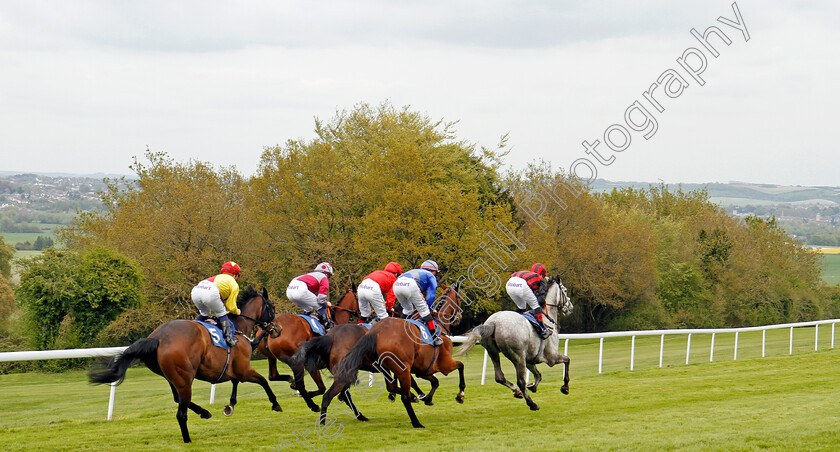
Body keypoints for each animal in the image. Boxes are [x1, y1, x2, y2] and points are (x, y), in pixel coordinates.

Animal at [88, 286, 280, 442]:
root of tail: (157, 338)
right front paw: (275, 404)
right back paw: (188, 439)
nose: (277, 328)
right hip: (185, 378)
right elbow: (263, 380)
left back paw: (204, 412)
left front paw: (230, 405)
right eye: (272, 307)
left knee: (178, 399)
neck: (238, 327)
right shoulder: (243, 369)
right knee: (181, 413)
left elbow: (237, 382)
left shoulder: (235, 370)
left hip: (173, 378)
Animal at [258, 286, 360, 414]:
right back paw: (312, 404)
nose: (368, 314)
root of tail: (270, 329)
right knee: (300, 385)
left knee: (273, 376)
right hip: (297, 363)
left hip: (272, 357)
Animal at [320, 282, 470, 428]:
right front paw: (460, 395)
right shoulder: (442, 365)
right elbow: (460, 366)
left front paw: (425, 398)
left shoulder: (421, 370)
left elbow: (434, 382)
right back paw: (415, 421)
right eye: (460, 298)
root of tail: (331, 336)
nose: (460, 317)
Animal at [456, 278, 576, 412]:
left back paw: (517, 392)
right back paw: (532, 404)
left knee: (500, 377)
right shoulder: (551, 358)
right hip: (517, 356)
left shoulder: (530, 360)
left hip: (493, 352)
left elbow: (538, 375)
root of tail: (493, 323)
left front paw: (533, 386)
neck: (546, 318)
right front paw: (565, 387)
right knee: (520, 381)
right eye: (565, 290)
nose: (571, 307)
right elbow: (567, 360)